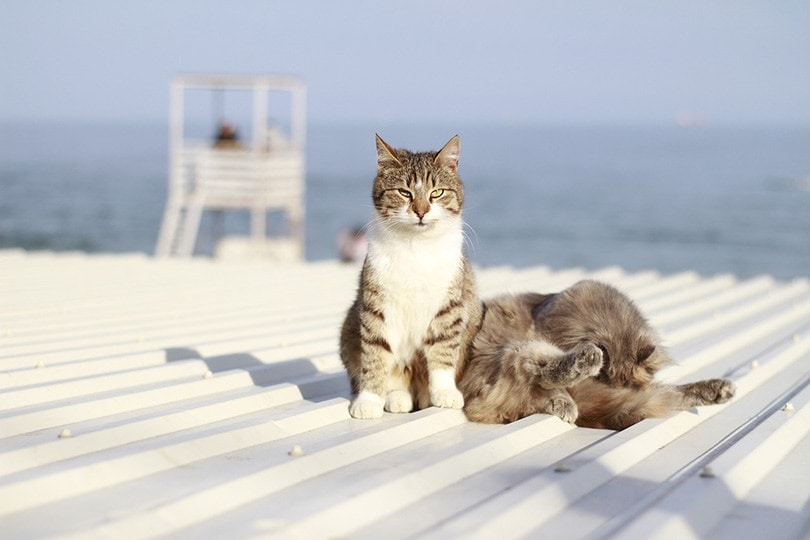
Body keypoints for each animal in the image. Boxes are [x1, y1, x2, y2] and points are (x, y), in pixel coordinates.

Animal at [340, 134, 480, 418]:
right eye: (404, 192)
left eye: (437, 192)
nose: (421, 211)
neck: (417, 247)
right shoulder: (375, 307)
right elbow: (375, 356)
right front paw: (369, 400)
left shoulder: (449, 307)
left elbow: (443, 352)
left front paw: (444, 392)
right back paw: (397, 397)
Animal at [458, 278, 736, 430]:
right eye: (606, 378)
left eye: (626, 383)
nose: (617, 390)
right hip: (518, 350)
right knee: (541, 373)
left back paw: (719, 389)